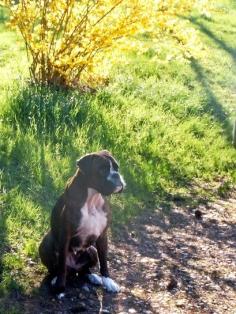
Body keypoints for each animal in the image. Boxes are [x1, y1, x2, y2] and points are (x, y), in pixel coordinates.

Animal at [38, 151, 125, 296]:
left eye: (117, 168)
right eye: (102, 170)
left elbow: (104, 261)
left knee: (83, 271)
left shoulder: (103, 236)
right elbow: (61, 265)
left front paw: (108, 281)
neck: (92, 199)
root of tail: (73, 268)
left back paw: (92, 276)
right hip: (46, 244)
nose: (117, 175)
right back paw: (55, 279)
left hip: (92, 250)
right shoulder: (65, 236)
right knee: (55, 269)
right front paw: (60, 287)